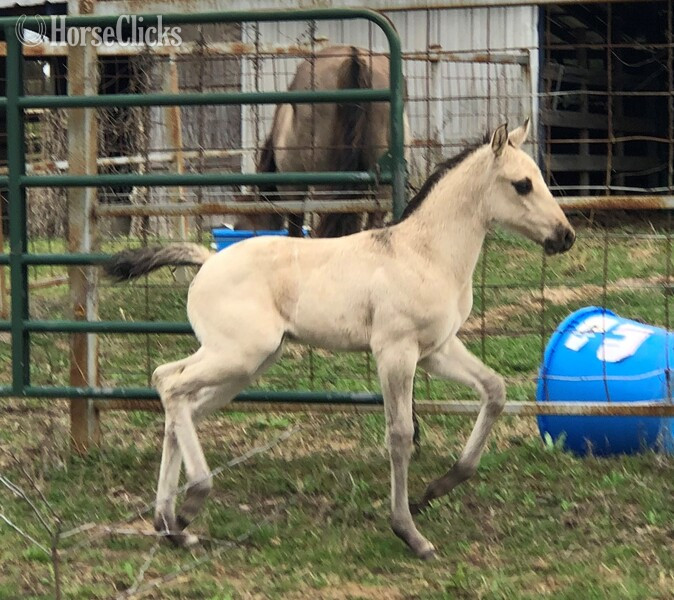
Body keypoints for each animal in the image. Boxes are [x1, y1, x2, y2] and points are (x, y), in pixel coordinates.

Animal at [105, 120, 575, 559]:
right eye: (522, 184)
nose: (565, 235)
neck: (426, 254)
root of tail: (207, 261)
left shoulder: (437, 350)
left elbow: (494, 391)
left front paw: (436, 489)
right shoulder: (395, 352)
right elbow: (400, 435)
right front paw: (410, 532)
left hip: (244, 365)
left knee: (178, 398)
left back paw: (170, 524)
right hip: (238, 355)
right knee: (169, 383)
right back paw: (190, 504)